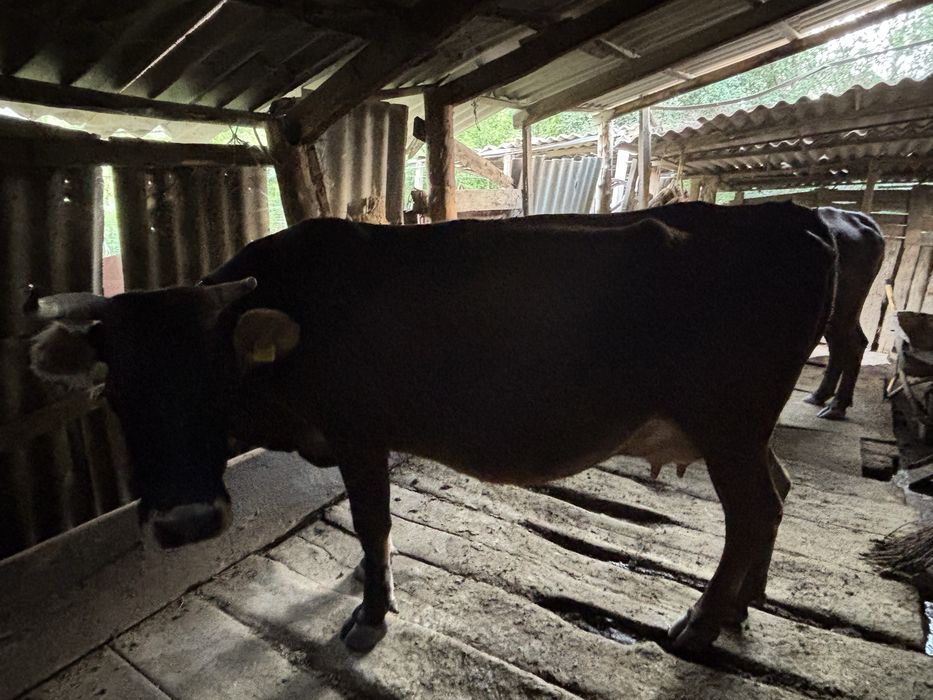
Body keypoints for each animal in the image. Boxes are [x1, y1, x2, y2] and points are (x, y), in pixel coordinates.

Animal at [28, 202, 836, 654]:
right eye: (116, 393)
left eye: (217, 380)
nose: (188, 522)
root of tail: (792, 216)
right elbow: (370, 528)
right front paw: (366, 577)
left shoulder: (358, 433)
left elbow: (372, 520)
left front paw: (370, 612)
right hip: (746, 432)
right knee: (777, 495)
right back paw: (742, 604)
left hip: (727, 424)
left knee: (752, 509)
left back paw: (702, 620)